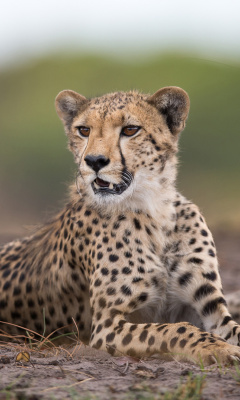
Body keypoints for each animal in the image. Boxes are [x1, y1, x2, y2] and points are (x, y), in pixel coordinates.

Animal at [0, 87, 240, 366]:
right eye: (84, 130)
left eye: (130, 130)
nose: (94, 161)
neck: (153, 210)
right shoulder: (106, 326)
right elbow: (174, 329)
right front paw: (219, 348)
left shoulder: (210, 307)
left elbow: (232, 328)